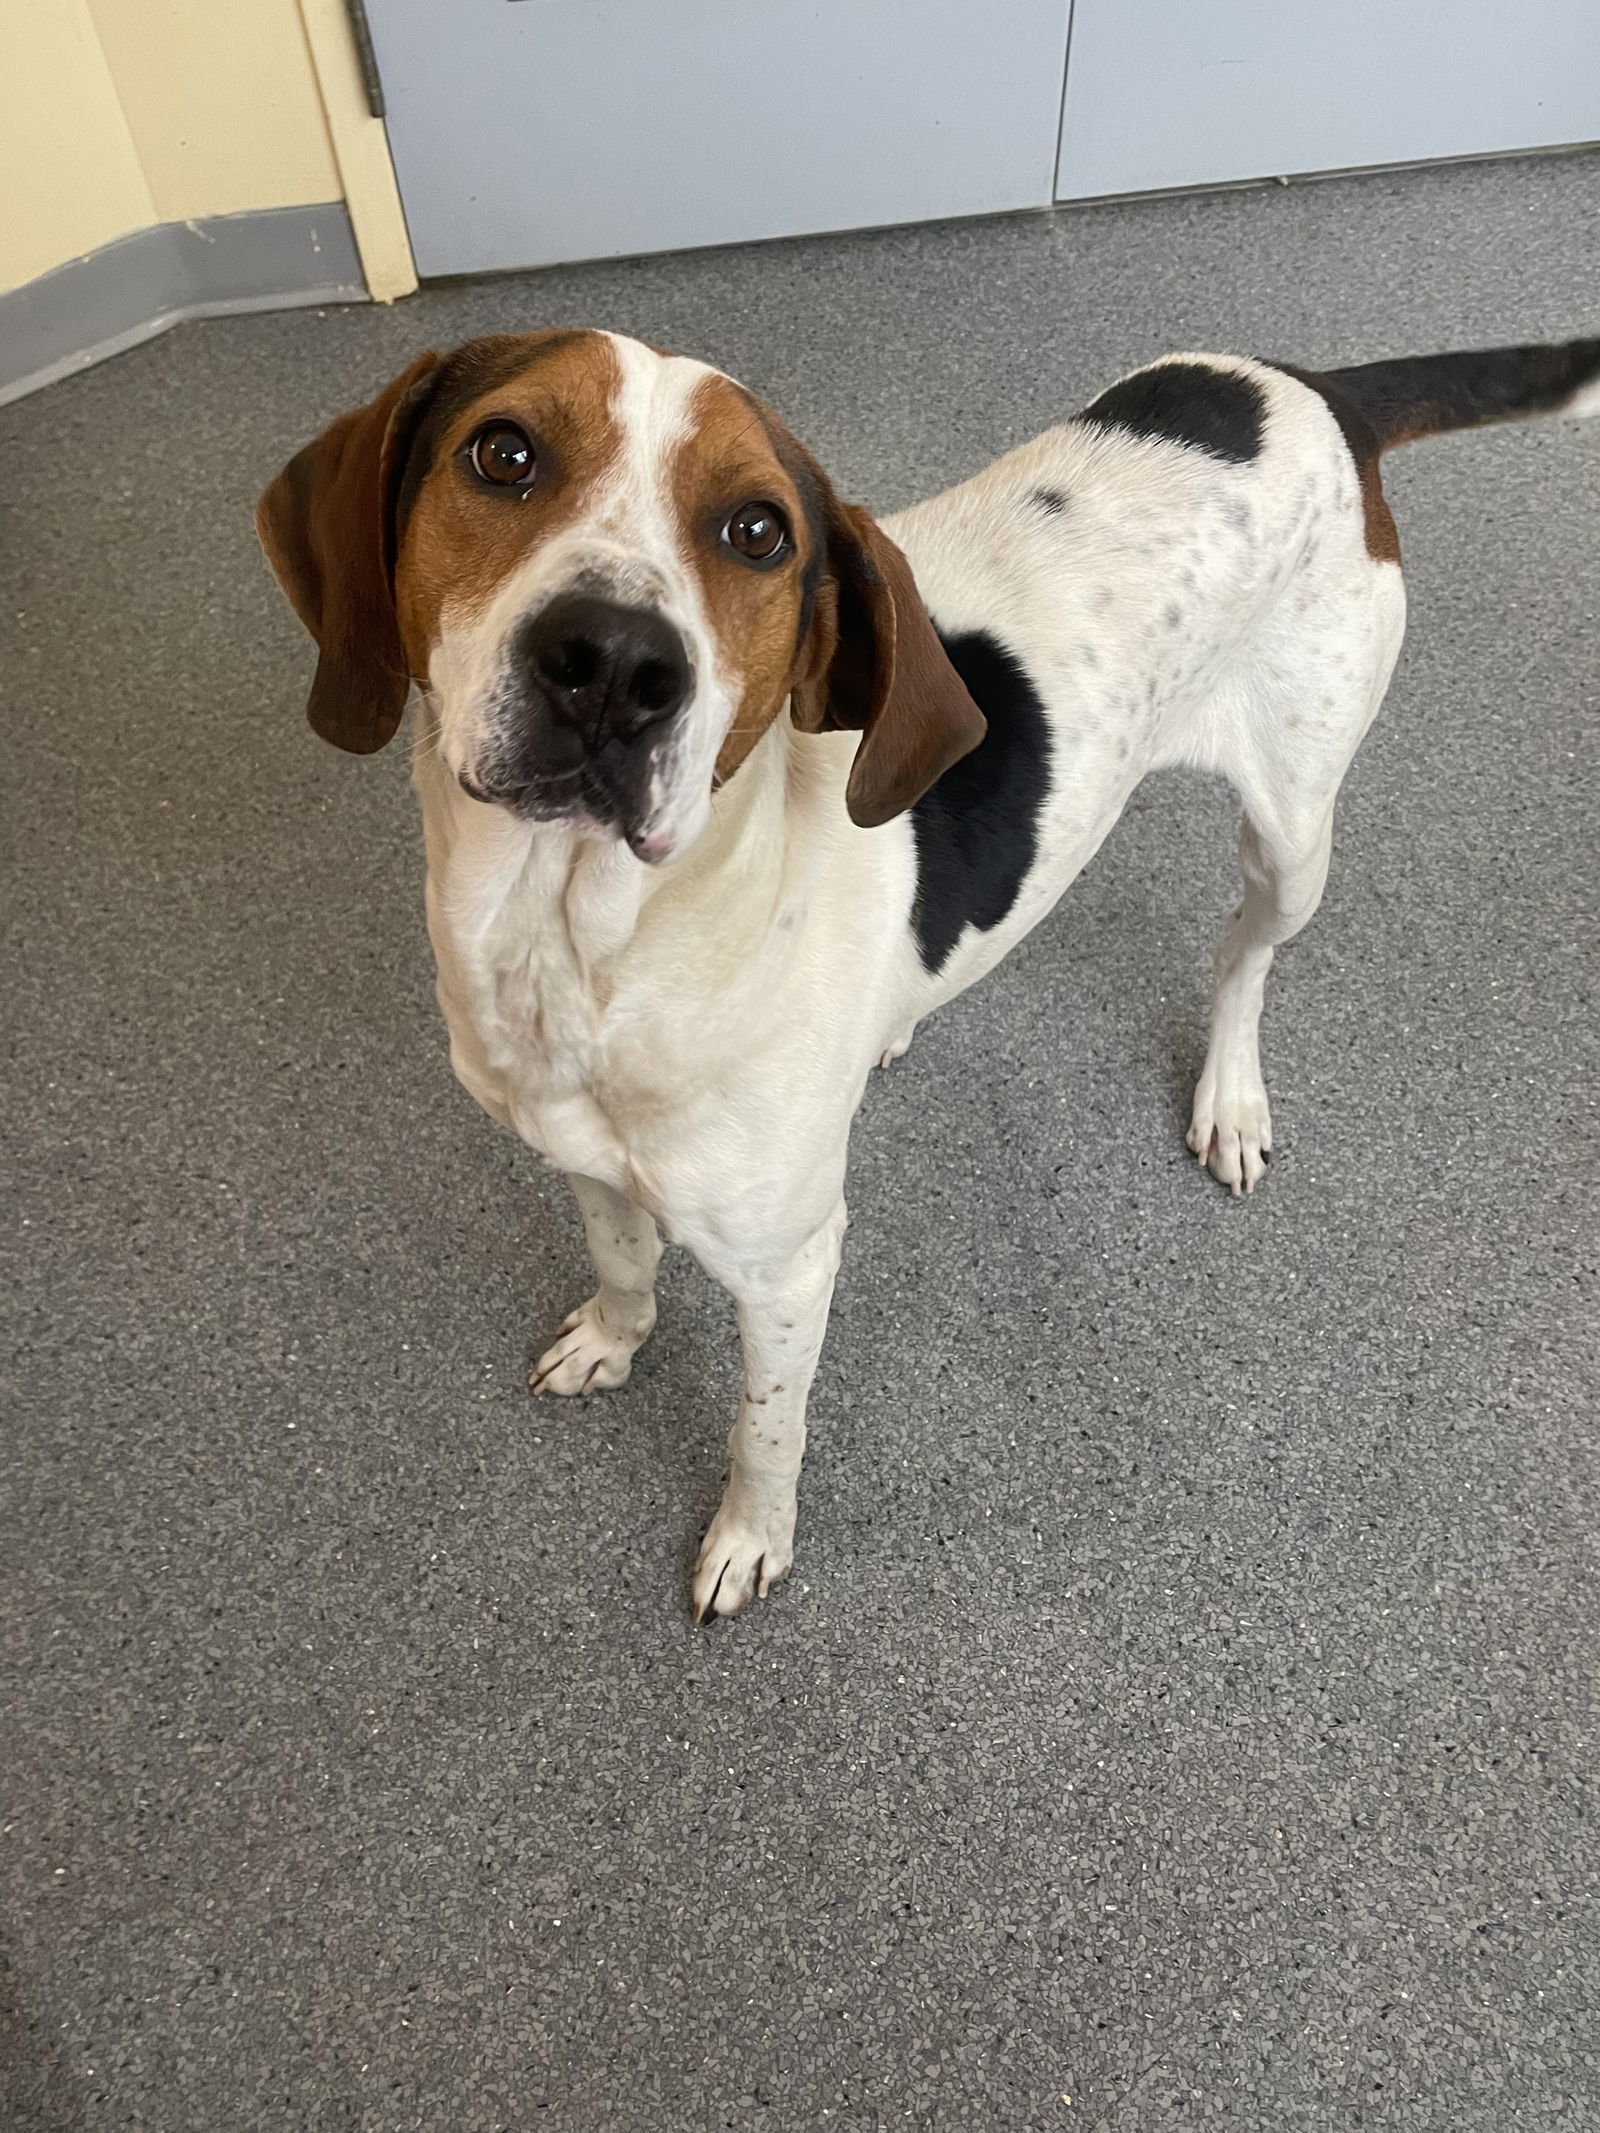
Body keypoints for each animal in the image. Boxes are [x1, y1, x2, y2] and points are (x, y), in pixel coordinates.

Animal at [257, 328, 1595, 1612]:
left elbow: (764, 1431)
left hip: (1294, 833)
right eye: (503, 454)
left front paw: (751, 1541)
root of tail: (1321, 389)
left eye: (757, 531)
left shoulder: (790, 1268)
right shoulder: (583, 1164)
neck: (581, 945)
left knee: (1242, 961)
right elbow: (625, 1266)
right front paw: (612, 1340)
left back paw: (1229, 1097)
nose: (616, 666)